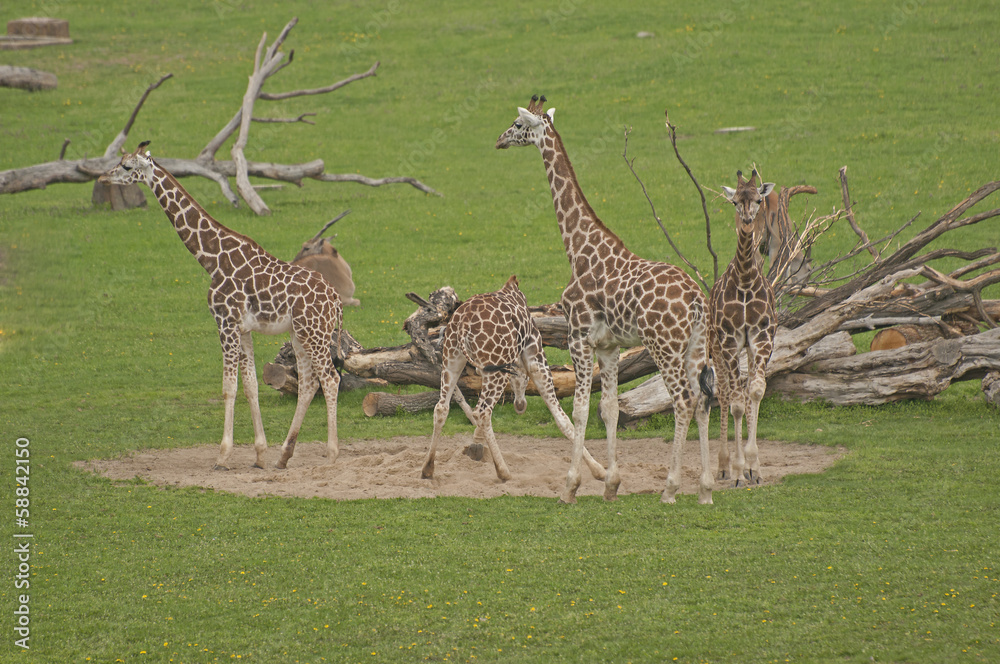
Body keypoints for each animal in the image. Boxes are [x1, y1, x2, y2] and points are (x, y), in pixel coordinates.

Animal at [99, 141, 342, 471]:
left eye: (126, 166)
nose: (103, 178)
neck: (212, 260)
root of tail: (336, 300)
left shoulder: (224, 321)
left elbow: (229, 388)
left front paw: (223, 456)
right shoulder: (243, 328)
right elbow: (251, 385)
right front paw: (259, 455)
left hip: (314, 333)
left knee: (330, 378)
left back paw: (331, 453)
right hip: (300, 333)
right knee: (308, 383)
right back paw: (283, 455)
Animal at [421, 275, 606, 483]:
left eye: (519, 380)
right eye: (525, 380)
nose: (520, 406)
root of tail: (462, 325)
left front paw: (475, 444)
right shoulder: (536, 356)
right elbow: (562, 419)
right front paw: (599, 470)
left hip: (452, 359)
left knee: (442, 408)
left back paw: (428, 469)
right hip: (495, 365)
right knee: (483, 412)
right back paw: (503, 472)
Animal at [496, 96, 715, 505]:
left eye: (518, 124)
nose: (499, 140)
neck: (578, 249)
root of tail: (696, 299)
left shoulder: (578, 337)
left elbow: (581, 409)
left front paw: (570, 486)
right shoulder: (610, 346)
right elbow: (610, 408)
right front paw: (612, 484)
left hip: (664, 346)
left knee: (683, 401)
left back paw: (670, 488)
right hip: (696, 345)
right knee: (704, 400)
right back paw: (707, 489)